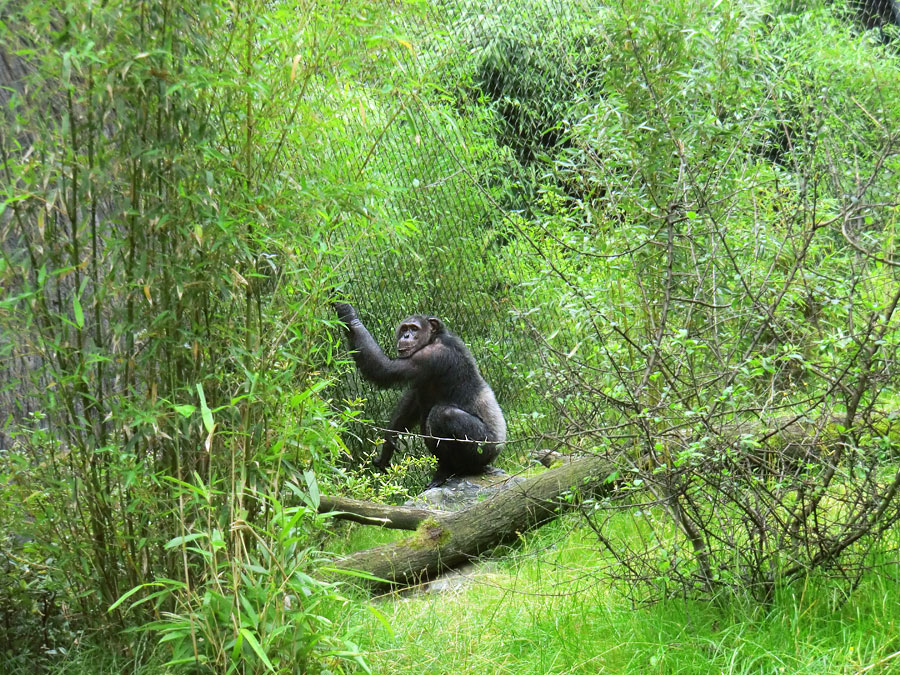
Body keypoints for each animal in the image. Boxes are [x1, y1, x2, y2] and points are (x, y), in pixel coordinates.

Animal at [334, 304, 506, 488]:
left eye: (414, 329)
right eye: (404, 329)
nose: (406, 336)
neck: (433, 339)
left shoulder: (431, 355)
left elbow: (385, 368)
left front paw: (349, 315)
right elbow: (411, 403)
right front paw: (388, 444)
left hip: (485, 446)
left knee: (443, 415)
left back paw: (450, 471)